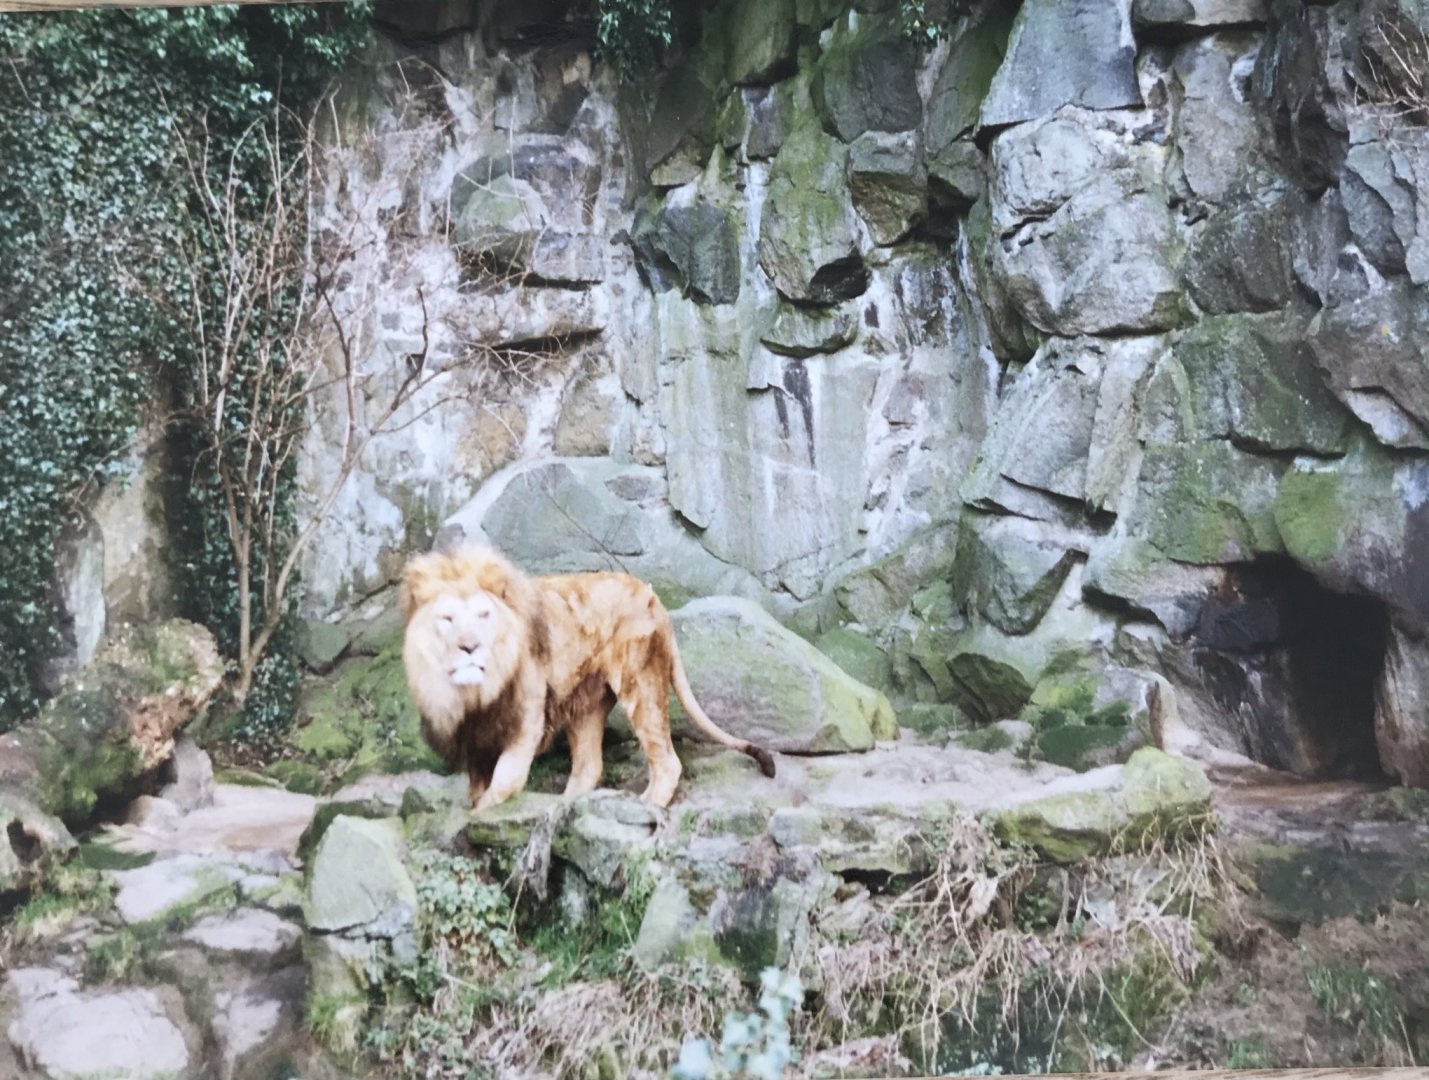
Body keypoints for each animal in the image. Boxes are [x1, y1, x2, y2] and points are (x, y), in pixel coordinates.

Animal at [399, 544, 776, 810]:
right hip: (586, 704)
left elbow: (504, 782)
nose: (469, 646)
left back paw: (646, 808)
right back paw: (566, 807)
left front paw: (483, 814)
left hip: (639, 680)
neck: (475, 692)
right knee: (589, 767)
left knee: (667, 762)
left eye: (483, 615)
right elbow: (478, 789)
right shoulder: (475, 738)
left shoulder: (526, 719)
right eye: (447, 618)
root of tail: (655, 598)